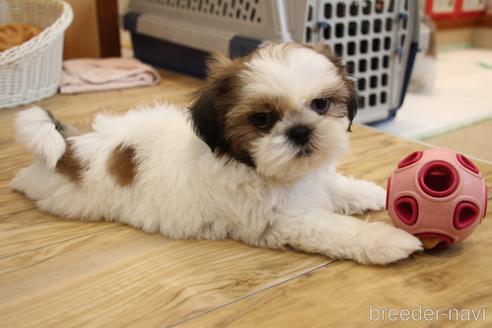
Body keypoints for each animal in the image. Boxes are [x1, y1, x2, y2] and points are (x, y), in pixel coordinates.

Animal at [10, 43, 418, 264]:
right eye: (261, 119)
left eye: (321, 104)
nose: (301, 131)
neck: (255, 167)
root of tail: (72, 146)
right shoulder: (281, 219)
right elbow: (332, 227)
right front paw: (386, 241)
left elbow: (335, 186)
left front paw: (372, 192)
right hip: (62, 196)